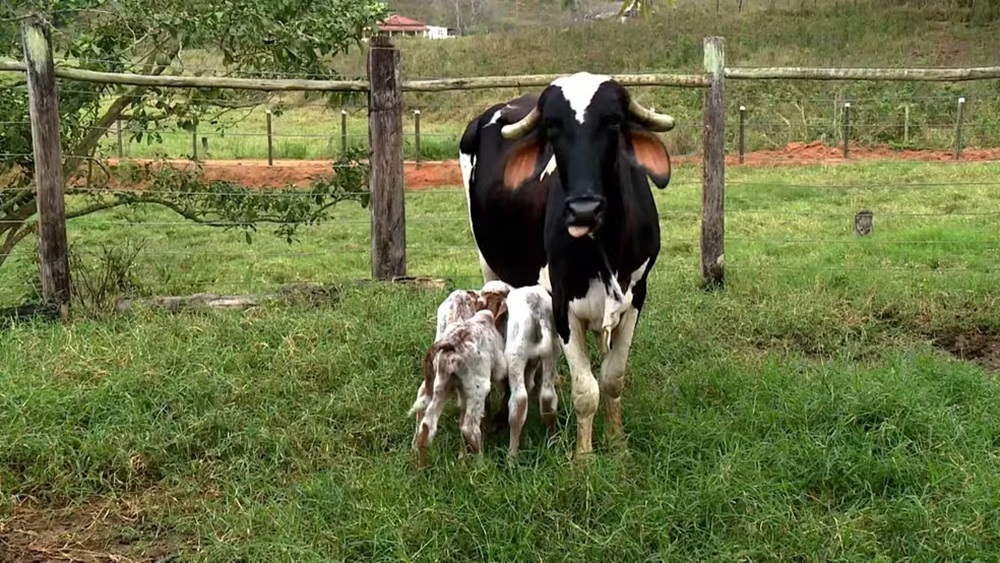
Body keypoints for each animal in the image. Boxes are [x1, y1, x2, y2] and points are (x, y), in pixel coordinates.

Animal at [457, 72, 674, 457]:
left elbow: (612, 378)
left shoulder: (637, 297)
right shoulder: (562, 305)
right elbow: (586, 390)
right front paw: (583, 457)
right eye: (552, 127)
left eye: (613, 121)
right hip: (491, 266)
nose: (583, 209)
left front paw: (617, 444)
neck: (604, 251)